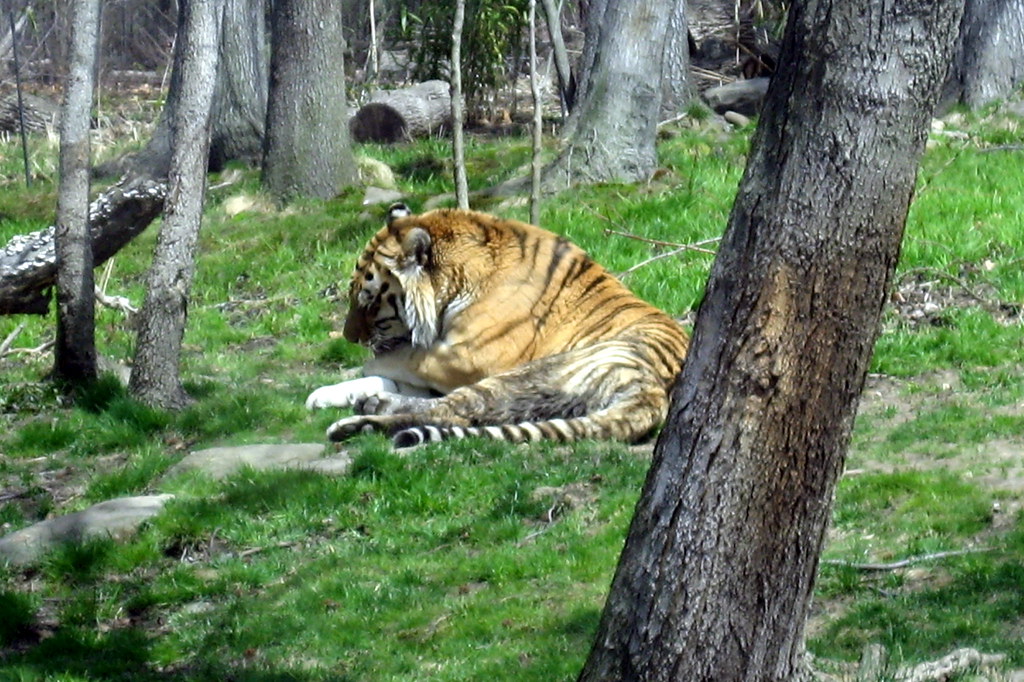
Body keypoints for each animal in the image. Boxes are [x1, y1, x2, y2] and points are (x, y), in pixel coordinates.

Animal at [303, 201, 688, 446]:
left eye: (367, 301)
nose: (349, 338)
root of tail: (651, 389)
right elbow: (390, 376)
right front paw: (322, 395)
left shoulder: (469, 357)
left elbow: (403, 359)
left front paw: (368, 370)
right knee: (458, 415)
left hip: (527, 375)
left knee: (454, 410)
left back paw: (359, 419)